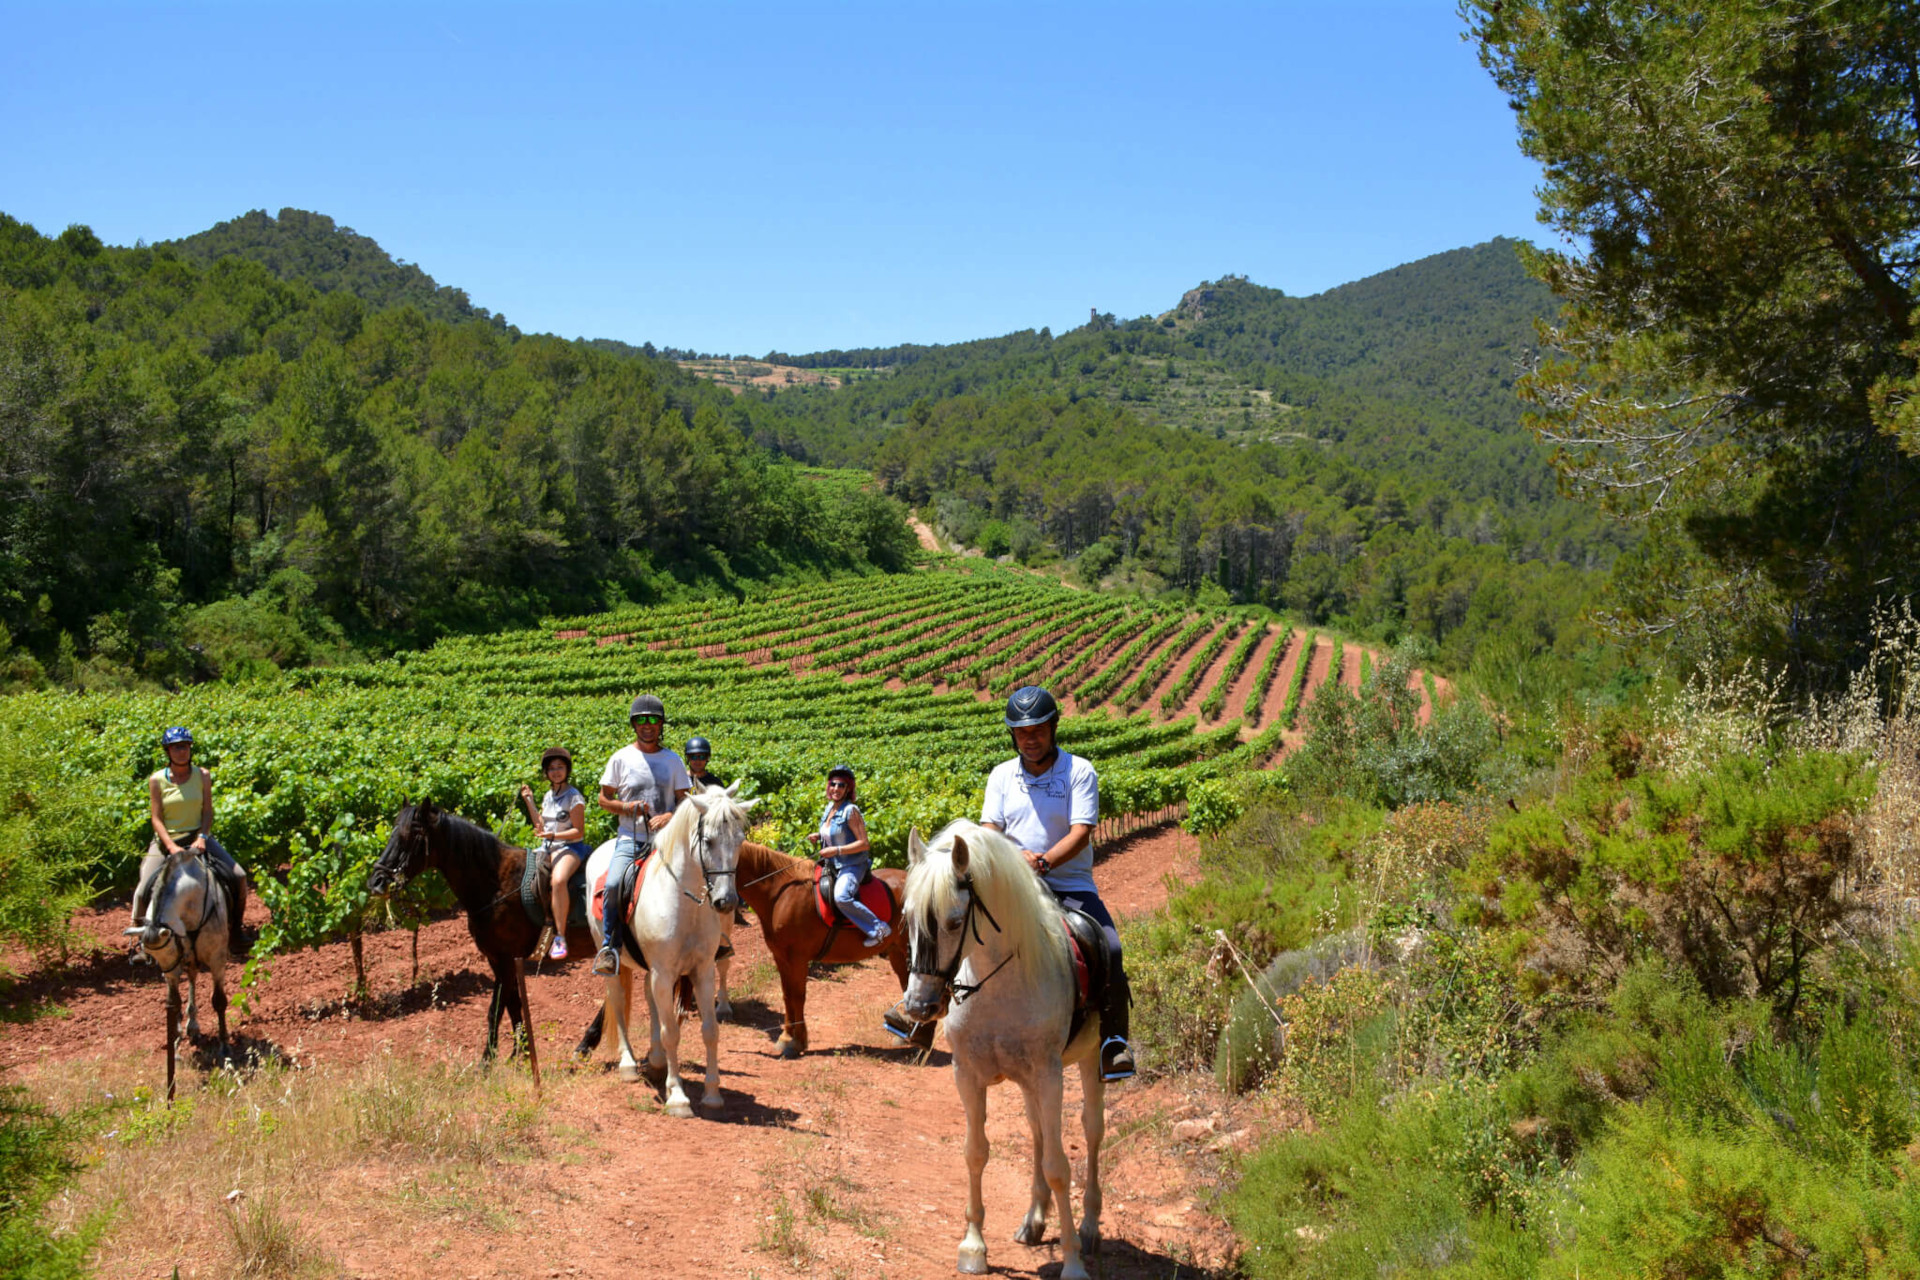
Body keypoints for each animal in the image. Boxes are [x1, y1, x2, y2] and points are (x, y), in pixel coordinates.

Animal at [124, 844, 231, 1097]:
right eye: (154, 956)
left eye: (171, 947)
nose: (167, 971)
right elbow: (175, 1002)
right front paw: (175, 1042)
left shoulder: (217, 960)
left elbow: (219, 1001)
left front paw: (224, 1046)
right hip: (189, 960)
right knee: (189, 981)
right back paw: (189, 1027)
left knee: (192, 979)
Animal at [362, 802, 595, 1059]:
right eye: (391, 833)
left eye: (410, 836)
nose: (376, 881)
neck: (496, 883)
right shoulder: (496, 959)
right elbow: (512, 1004)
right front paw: (520, 1053)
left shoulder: (505, 959)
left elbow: (497, 1007)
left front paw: (488, 1059)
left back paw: (586, 1044)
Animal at [587, 786, 752, 1113]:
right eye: (708, 840)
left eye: (740, 839)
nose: (726, 901)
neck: (682, 902)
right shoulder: (664, 974)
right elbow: (671, 1032)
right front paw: (677, 1096)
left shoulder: (702, 972)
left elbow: (710, 1030)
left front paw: (712, 1093)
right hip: (614, 963)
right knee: (618, 1002)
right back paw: (629, 1064)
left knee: (650, 1001)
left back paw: (656, 1058)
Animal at [729, 840, 933, 1059]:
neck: (781, 894)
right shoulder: (781, 958)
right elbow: (787, 996)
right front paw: (786, 1038)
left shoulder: (797, 959)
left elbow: (797, 996)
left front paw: (796, 1042)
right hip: (897, 952)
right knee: (907, 985)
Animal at [902, 821, 1113, 1280]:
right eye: (906, 917)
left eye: (954, 921)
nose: (919, 1006)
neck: (998, 983)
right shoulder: (966, 1074)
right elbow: (975, 1152)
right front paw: (973, 1247)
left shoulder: (1050, 1075)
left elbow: (1058, 1166)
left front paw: (1072, 1261)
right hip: (1027, 1082)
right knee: (1037, 1133)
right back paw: (1033, 1221)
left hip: (1089, 1062)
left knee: (1091, 1131)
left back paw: (1089, 1227)